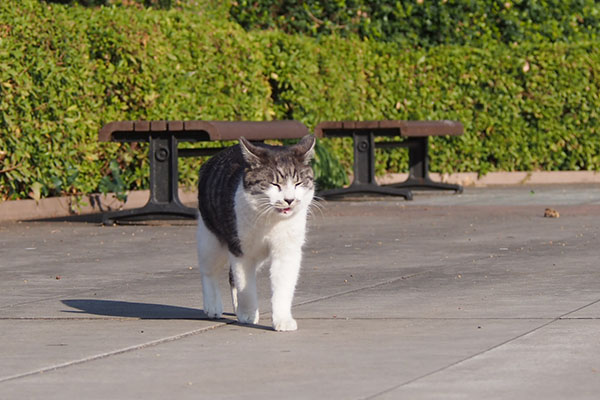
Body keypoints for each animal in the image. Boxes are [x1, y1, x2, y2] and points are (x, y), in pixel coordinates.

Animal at [198, 134, 318, 332]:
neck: (271, 220)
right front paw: (248, 314)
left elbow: (283, 286)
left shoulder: (287, 250)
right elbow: (245, 286)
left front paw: (282, 319)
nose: (289, 200)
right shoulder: (240, 250)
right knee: (208, 271)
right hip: (210, 236)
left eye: (298, 183)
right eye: (275, 184)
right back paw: (212, 306)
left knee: (231, 277)